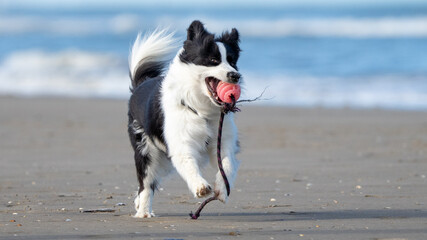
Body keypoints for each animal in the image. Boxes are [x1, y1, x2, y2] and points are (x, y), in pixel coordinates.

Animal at [127, 20, 242, 218]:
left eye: (233, 61)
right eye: (213, 61)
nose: (235, 75)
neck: (202, 110)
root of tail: (140, 85)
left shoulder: (223, 141)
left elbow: (226, 165)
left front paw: (221, 190)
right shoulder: (181, 143)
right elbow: (188, 163)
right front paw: (200, 186)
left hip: (164, 160)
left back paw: (137, 203)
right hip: (147, 150)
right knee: (146, 183)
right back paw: (143, 211)